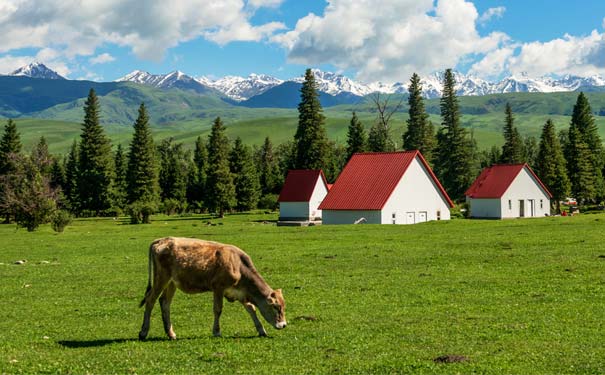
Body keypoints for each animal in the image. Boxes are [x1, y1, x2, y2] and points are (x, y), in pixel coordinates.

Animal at [139, 238, 286, 340]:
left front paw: (261, 330)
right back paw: (143, 332)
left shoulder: (240, 292)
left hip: (171, 282)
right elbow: (218, 309)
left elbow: (251, 309)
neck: (238, 266)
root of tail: (162, 240)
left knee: (165, 302)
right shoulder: (218, 288)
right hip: (161, 278)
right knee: (150, 300)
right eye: (276, 307)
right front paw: (216, 331)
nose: (284, 325)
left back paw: (171, 333)